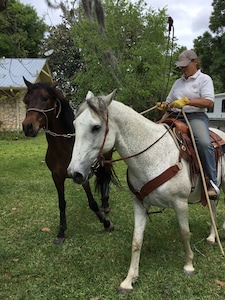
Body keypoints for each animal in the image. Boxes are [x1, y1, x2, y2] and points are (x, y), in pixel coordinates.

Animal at [22, 78, 115, 244]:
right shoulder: (57, 177)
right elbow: (61, 204)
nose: (28, 127)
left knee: (106, 179)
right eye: (26, 100)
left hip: (107, 160)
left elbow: (92, 203)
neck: (64, 148)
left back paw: (105, 205)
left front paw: (106, 223)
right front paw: (61, 232)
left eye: (45, 98)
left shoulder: (82, 176)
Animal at [67, 91, 225, 292]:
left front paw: (189, 265)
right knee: (213, 207)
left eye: (96, 127)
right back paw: (212, 237)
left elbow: (185, 233)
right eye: (74, 125)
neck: (153, 156)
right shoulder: (139, 203)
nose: (74, 173)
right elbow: (136, 240)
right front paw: (129, 279)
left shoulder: (180, 203)